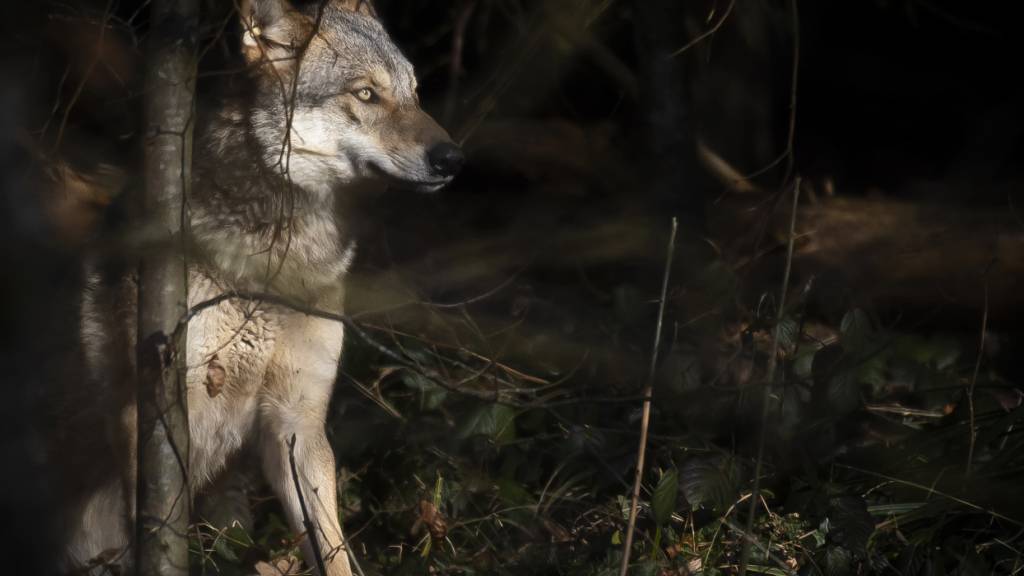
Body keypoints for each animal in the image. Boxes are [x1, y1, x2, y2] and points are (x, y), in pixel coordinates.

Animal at [61, 0, 464, 574]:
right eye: (366, 93)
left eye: (414, 92)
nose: (452, 159)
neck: (278, 264)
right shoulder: (151, 422)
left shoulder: (297, 423)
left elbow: (334, 551)